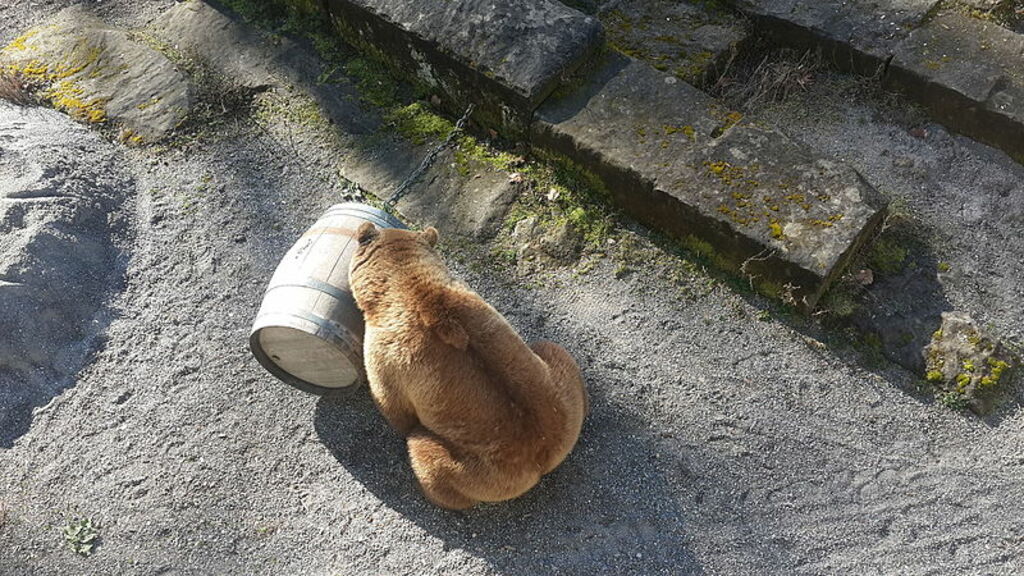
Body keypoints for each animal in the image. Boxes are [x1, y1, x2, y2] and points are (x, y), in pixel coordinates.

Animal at [348, 222, 588, 509]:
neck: (405, 283)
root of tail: (543, 457)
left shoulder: (387, 352)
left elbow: (392, 404)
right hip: (561, 393)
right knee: (553, 350)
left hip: (475, 468)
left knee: (425, 454)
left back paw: (431, 491)